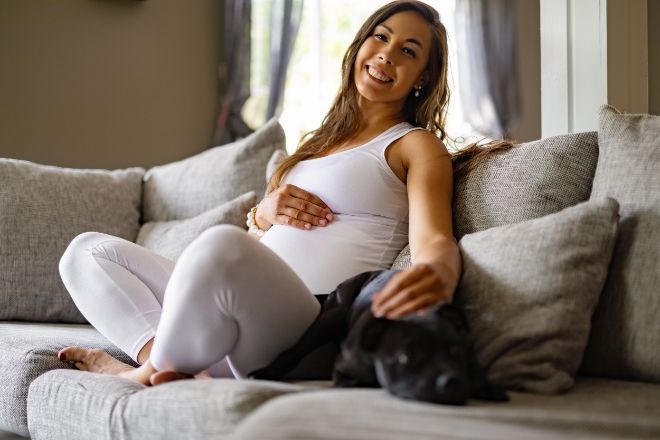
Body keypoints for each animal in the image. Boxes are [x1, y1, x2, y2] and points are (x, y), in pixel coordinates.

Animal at [250, 268, 508, 406]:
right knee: (295, 350)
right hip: (329, 319)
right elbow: (348, 381)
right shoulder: (344, 366)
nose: (450, 381)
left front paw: (486, 386)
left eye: (456, 351)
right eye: (406, 357)